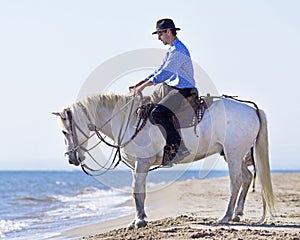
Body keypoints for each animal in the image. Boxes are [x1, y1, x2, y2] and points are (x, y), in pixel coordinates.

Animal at [52, 92, 276, 229]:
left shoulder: (142, 163)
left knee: (236, 182)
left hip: (234, 154)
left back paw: (226, 217)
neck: (129, 121)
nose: (71, 158)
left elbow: (137, 190)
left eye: (64, 131)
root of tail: (252, 109)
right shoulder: (136, 165)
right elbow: (139, 190)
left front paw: (139, 221)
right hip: (235, 155)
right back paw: (237, 214)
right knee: (247, 178)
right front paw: (139, 219)